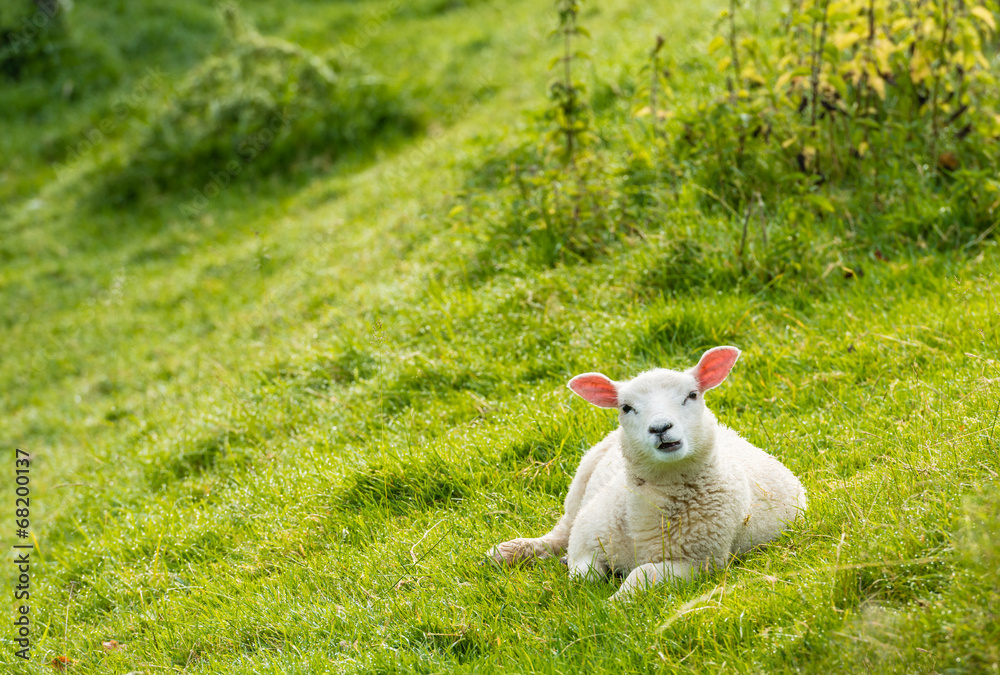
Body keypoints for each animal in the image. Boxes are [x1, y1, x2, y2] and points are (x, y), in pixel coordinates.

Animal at [488, 346, 806, 601]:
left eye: (692, 395)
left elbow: (641, 576)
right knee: (558, 533)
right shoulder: (586, 537)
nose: (661, 428)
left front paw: (615, 602)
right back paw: (508, 552)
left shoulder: (697, 563)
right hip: (579, 486)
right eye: (626, 407)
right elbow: (586, 575)